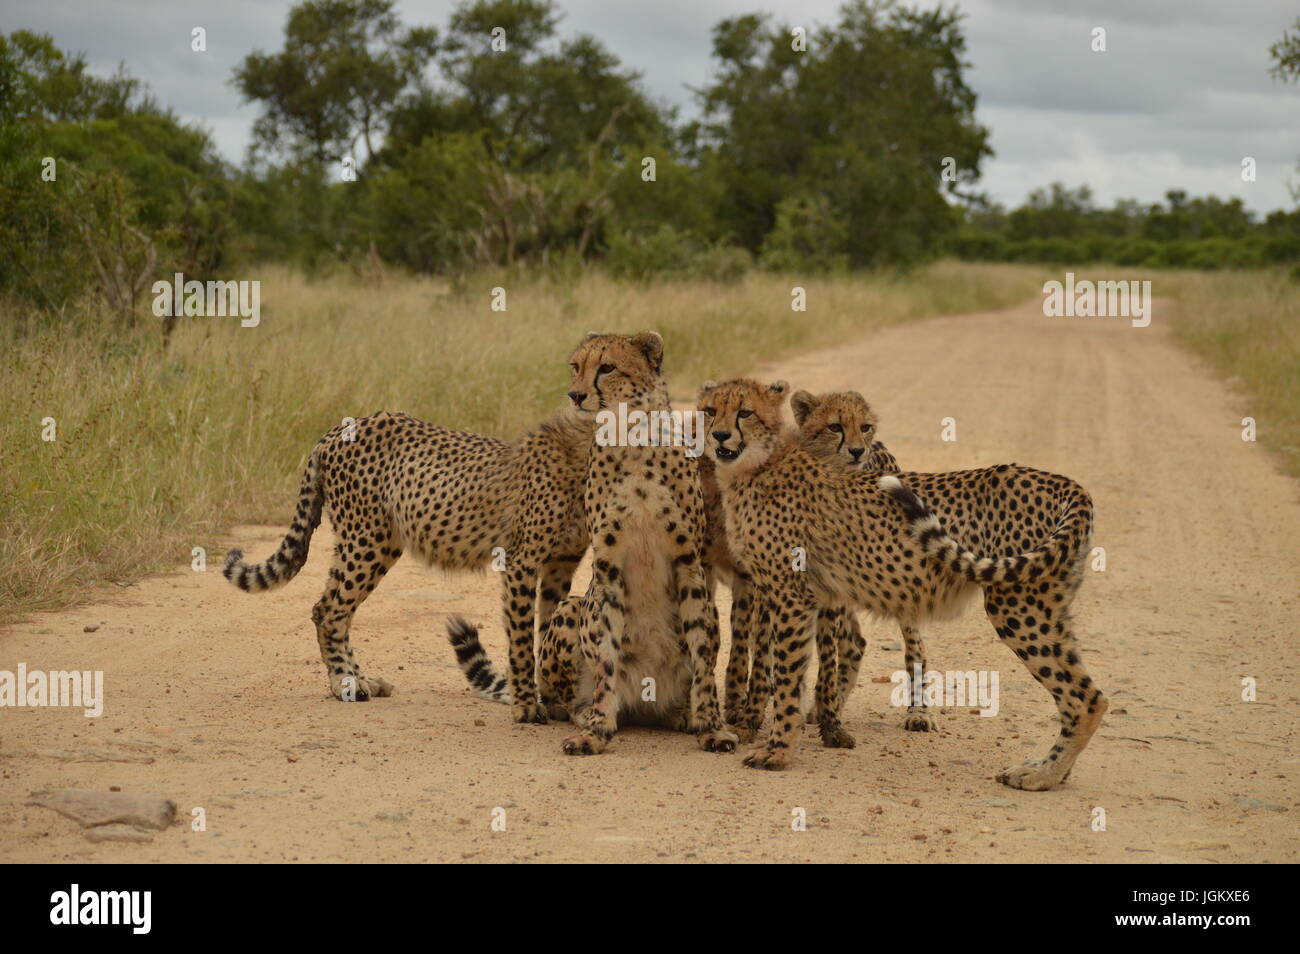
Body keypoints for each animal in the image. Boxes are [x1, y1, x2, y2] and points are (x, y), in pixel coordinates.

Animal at [223, 408, 590, 722]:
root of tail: (341, 427)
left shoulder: (562, 563)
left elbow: (548, 627)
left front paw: (553, 699)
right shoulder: (521, 561)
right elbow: (522, 637)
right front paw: (528, 705)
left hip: (364, 544)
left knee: (330, 608)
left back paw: (360, 679)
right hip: (368, 540)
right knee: (330, 611)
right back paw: (345, 683)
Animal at [702, 376, 1107, 790]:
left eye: (744, 413)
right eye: (710, 410)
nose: (719, 435)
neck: (757, 464)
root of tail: (1061, 482)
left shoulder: (792, 596)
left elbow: (785, 675)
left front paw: (778, 752)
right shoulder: (780, 592)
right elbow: (773, 665)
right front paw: (760, 728)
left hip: (1019, 606)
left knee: (1087, 697)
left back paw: (1042, 774)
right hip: (1046, 603)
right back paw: (1054, 771)